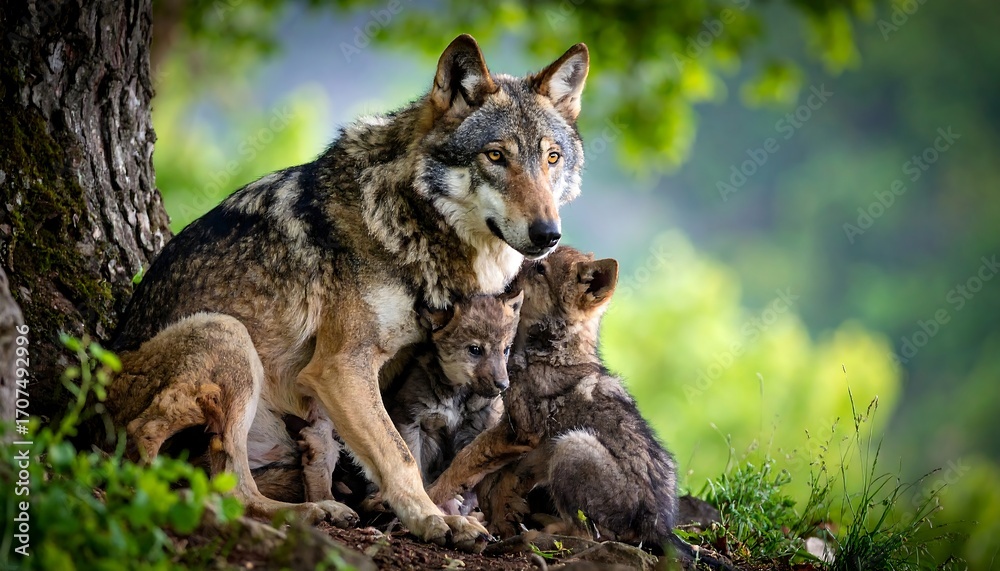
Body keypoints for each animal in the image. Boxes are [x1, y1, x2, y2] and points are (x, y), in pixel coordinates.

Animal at [105, 34, 589, 549]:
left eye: (552, 158)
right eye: (496, 156)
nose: (548, 234)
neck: (408, 221)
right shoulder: (341, 366)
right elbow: (399, 454)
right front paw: (429, 518)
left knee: (229, 481)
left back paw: (315, 510)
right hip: (229, 335)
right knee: (190, 461)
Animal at [425, 247, 734, 568]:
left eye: (539, 269)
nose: (503, 278)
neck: (554, 349)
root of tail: (660, 527)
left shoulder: (519, 430)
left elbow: (466, 459)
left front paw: (432, 496)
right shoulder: (534, 447)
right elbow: (500, 483)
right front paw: (496, 518)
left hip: (572, 445)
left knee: (588, 536)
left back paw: (537, 534)